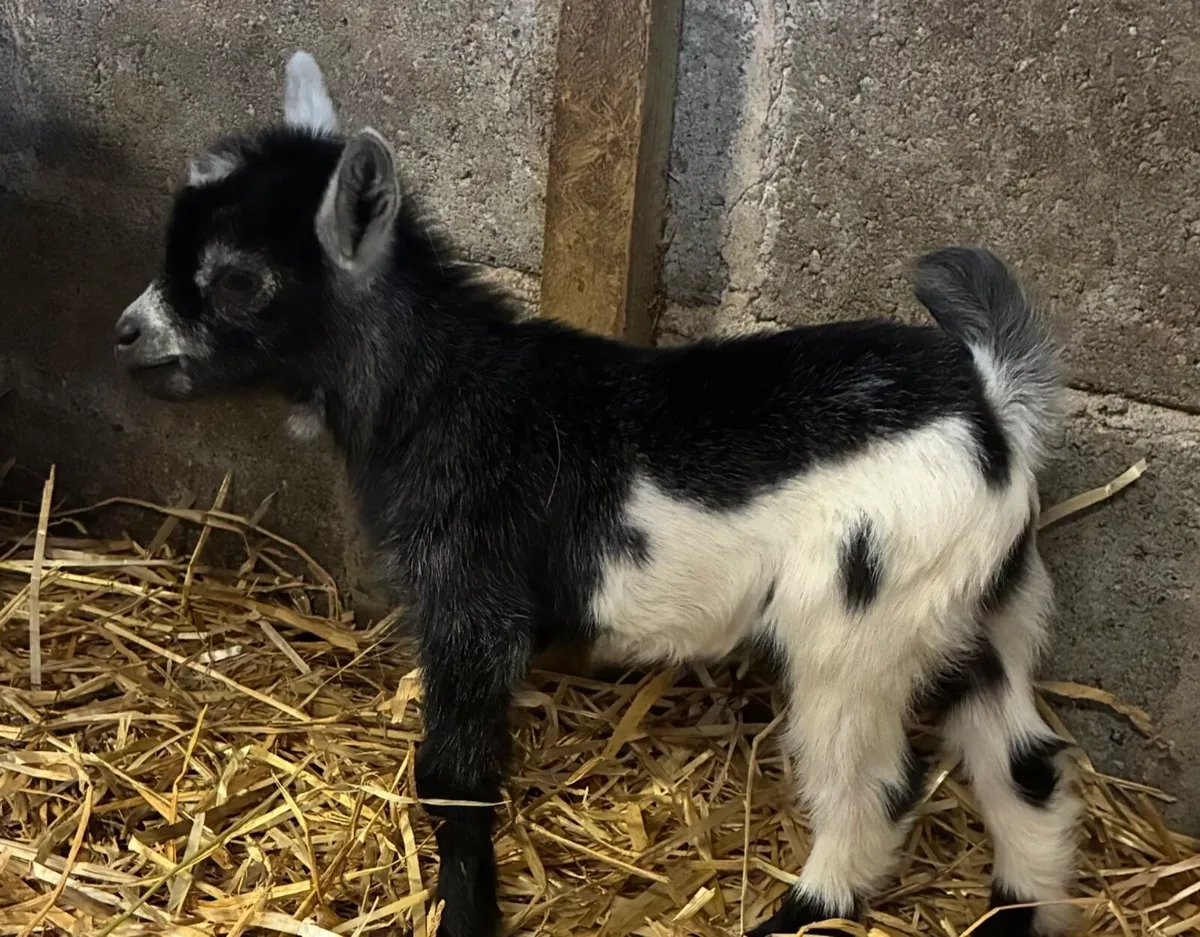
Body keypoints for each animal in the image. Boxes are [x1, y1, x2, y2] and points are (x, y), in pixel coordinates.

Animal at [113, 51, 1080, 937]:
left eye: (239, 280)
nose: (126, 335)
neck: (445, 392)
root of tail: (992, 409)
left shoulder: (472, 594)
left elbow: (454, 780)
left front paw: (467, 915)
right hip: (978, 610)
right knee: (1026, 762)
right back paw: (1019, 907)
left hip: (858, 622)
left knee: (876, 782)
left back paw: (804, 908)